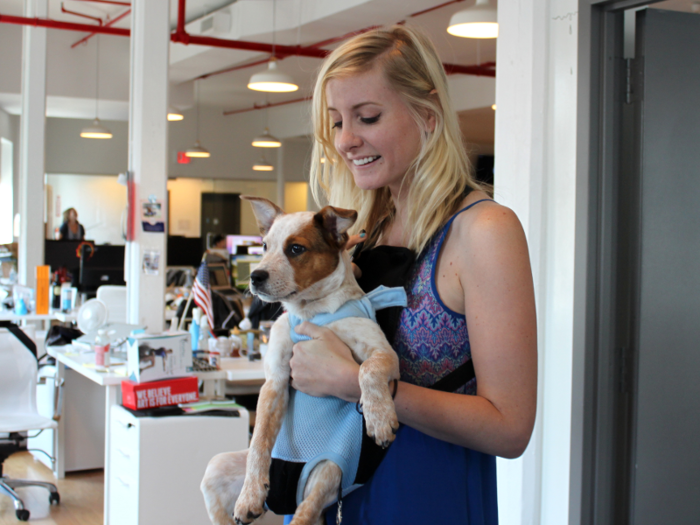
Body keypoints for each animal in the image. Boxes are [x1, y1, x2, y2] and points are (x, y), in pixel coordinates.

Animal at [201, 196, 400, 524]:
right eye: (264, 246)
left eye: (296, 248)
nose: (255, 276)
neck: (312, 311)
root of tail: (289, 499)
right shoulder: (276, 381)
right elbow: (259, 442)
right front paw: (250, 495)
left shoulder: (384, 352)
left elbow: (368, 370)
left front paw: (380, 419)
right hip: (216, 470)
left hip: (330, 470)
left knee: (306, 512)